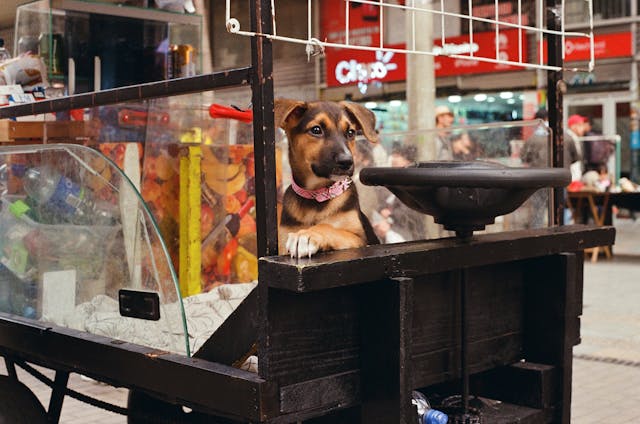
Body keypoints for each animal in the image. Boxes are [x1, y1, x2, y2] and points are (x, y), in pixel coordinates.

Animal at [274, 99, 380, 258]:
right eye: (316, 130)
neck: (316, 197)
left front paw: (306, 235)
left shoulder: (359, 238)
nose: (347, 161)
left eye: (350, 132)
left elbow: (328, 227)